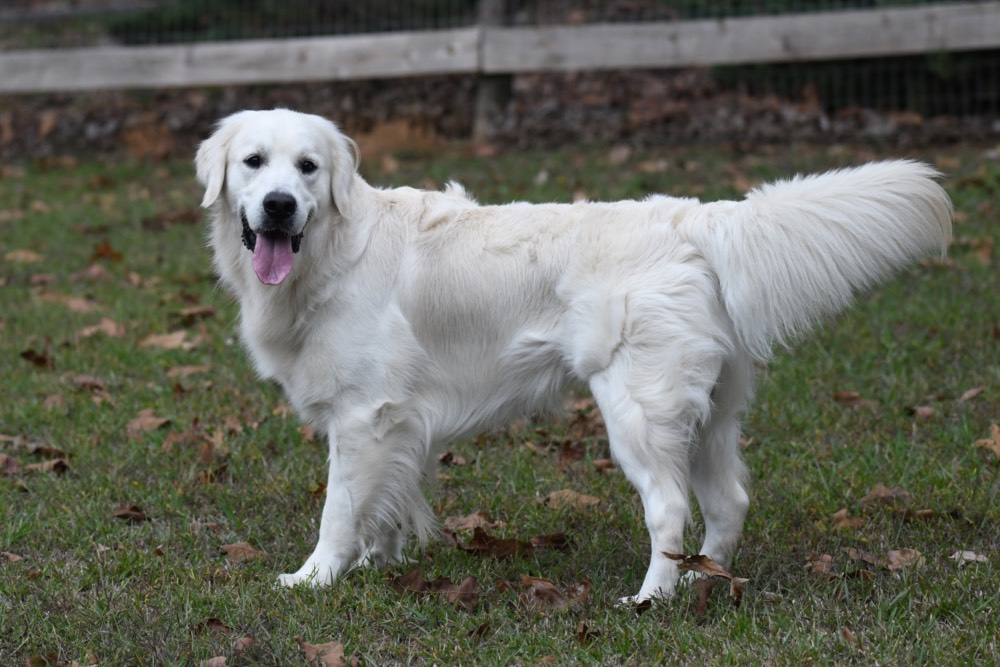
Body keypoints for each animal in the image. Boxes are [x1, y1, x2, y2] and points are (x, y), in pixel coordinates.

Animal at [195, 111, 952, 604]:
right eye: (253, 163)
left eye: (308, 168)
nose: (279, 205)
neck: (329, 253)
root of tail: (693, 218)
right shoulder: (398, 423)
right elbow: (386, 502)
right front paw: (376, 563)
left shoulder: (365, 416)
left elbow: (339, 509)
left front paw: (314, 578)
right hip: (706, 411)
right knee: (728, 500)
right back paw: (700, 580)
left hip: (637, 409)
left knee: (669, 506)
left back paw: (651, 599)